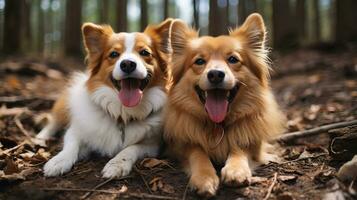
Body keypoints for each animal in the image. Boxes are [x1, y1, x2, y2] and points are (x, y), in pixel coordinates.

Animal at [37, 19, 172, 177]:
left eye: (145, 52)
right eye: (113, 54)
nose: (127, 64)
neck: (122, 114)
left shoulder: (153, 144)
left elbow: (130, 148)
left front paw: (117, 164)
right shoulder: (77, 130)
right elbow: (71, 144)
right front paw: (59, 160)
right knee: (53, 122)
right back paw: (40, 137)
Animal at [163, 13, 286, 196]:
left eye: (233, 59)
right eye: (199, 61)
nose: (215, 74)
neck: (217, 125)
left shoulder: (253, 143)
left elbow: (239, 147)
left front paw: (236, 169)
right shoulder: (181, 145)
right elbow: (197, 152)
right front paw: (204, 177)